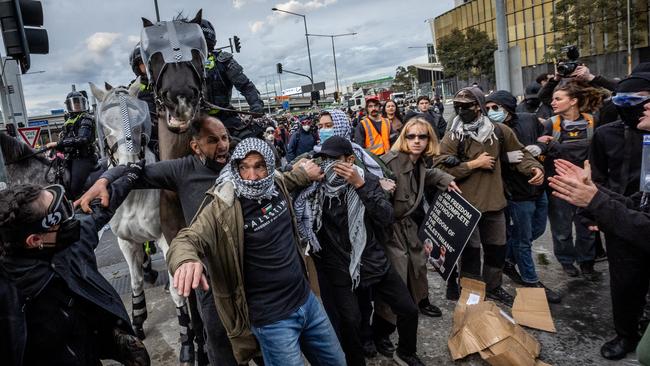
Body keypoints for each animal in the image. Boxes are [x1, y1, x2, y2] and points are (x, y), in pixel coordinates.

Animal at [90, 81, 195, 364]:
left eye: (140, 124)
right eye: (105, 126)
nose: (129, 166)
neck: (134, 192)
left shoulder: (168, 239)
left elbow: (178, 291)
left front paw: (187, 342)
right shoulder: (125, 242)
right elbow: (135, 281)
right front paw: (137, 320)